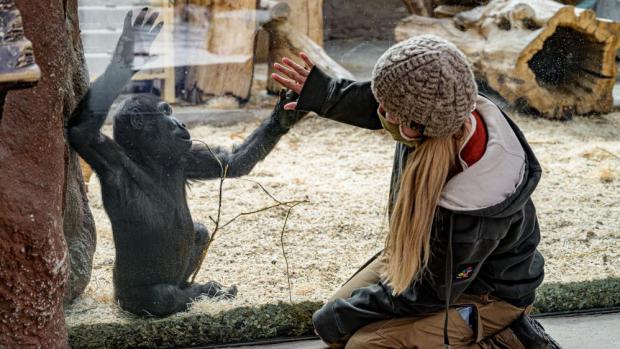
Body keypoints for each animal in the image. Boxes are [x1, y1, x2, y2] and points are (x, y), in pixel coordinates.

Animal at [68, 8, 306, 316]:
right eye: (165, 111)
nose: (180, 122)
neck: (152, 162)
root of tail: (115, 296)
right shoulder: (111, 161)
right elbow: (81, 132)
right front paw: (129, 49)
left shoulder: (185, 156)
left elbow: (231, 163)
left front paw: (283, 116)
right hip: (129, 296)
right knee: (163, 295)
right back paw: (195, 293)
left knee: (200, 232)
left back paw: (197, 289)